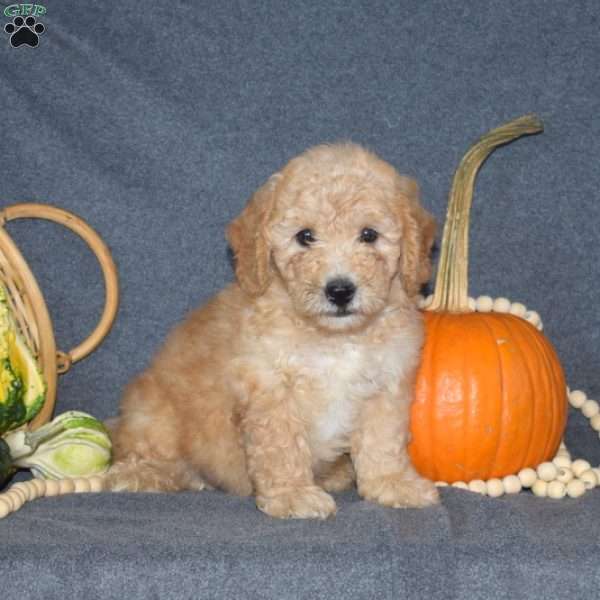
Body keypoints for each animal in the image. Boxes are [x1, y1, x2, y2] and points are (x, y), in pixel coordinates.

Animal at [108, 143, 438, 516]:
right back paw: (142, 474)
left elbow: (383, 441)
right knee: (141, 450)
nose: (340, 290)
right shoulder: (269, 388)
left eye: (369, 235)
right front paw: (292, 494)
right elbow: (282, 447)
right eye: (305, 237)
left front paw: (392, 483)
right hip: (154, 412)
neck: (336, 338)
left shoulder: (386, 384)